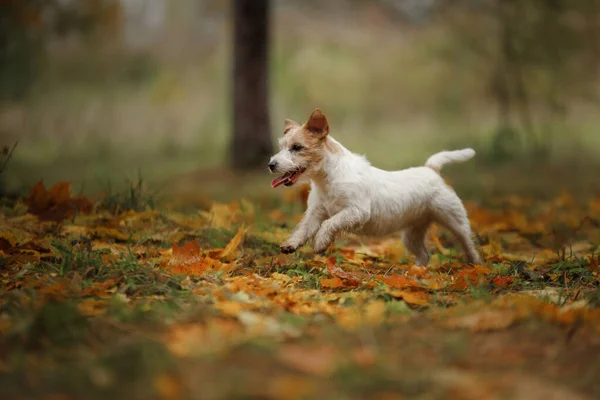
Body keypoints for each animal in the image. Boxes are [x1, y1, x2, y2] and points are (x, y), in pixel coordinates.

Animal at [268, 109, 482, 266]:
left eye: (297, 147)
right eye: (281, 147)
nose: (271, 164)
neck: (327, 178)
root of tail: (431, 169)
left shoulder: (356, 211)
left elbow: (330, 224)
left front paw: (320, 242)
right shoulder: (315, 213)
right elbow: (303, 229)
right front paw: (290, 244)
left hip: (455, 220)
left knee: (468, 243)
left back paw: (476, 265)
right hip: (412, 235)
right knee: (423, 255)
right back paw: (416, 273)